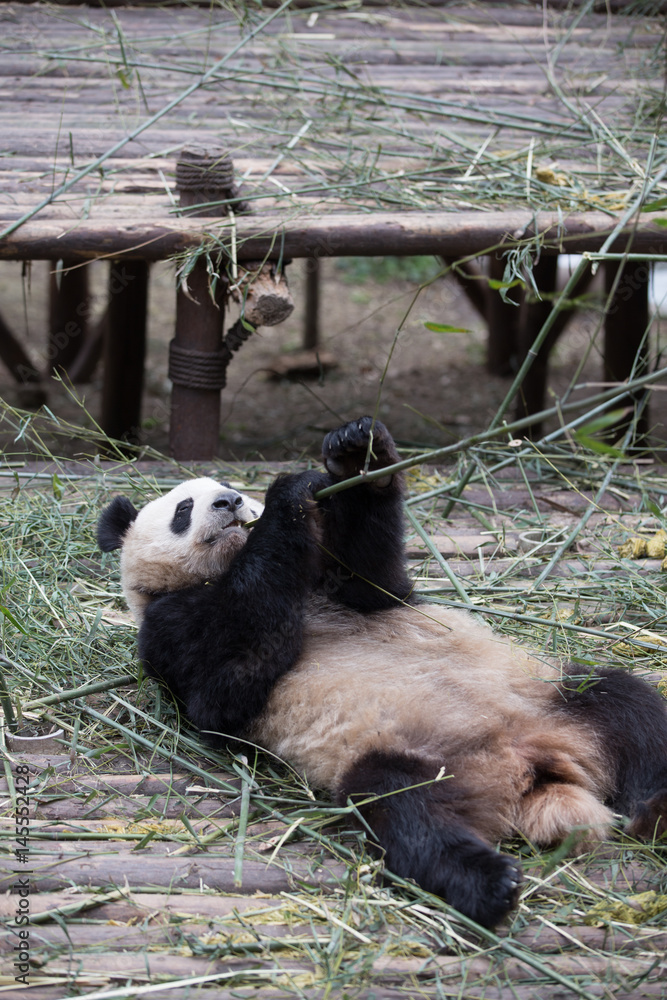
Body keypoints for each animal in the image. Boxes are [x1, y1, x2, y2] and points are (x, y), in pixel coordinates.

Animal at [98, 416, 667, 928]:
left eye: (235, 492)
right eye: (184, 509)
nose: (231, 503)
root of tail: (532, 772)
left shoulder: (343, 587)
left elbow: (373, 573)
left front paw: (356, 453)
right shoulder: (171, 629)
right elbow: (226, 685)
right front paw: (290, 494)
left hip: (547, 695)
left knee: (628, 705)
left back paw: (655, 806)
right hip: (405, 755)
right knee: (404, 812)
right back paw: (489, 883)